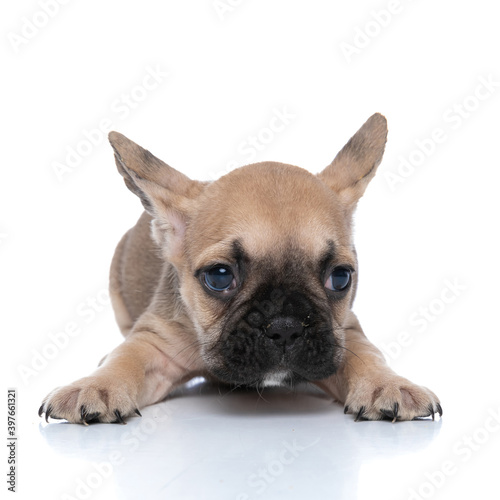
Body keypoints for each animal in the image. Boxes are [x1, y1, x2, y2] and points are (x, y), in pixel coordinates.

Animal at [41, 114, 444, 426]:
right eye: (219, 277)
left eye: (341, 277)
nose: (286, 326)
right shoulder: (154, 341)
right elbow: (125, 358)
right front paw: (96, 384)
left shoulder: (344, 333)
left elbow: (368, 355)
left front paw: (388, 383)